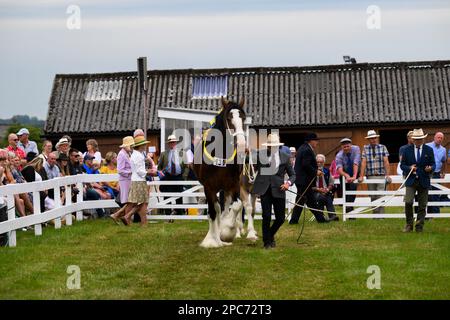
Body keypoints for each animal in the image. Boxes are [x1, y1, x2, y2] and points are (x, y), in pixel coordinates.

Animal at [192, 97, 250, 248]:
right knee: (216, 208)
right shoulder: (209, 187)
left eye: (243, 118)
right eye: (229, 118)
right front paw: (212, 241)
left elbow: (236, 206)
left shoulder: (234, 185)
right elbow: (213, 211)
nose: (241, 145)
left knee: (225, 207)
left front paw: (227, 231)